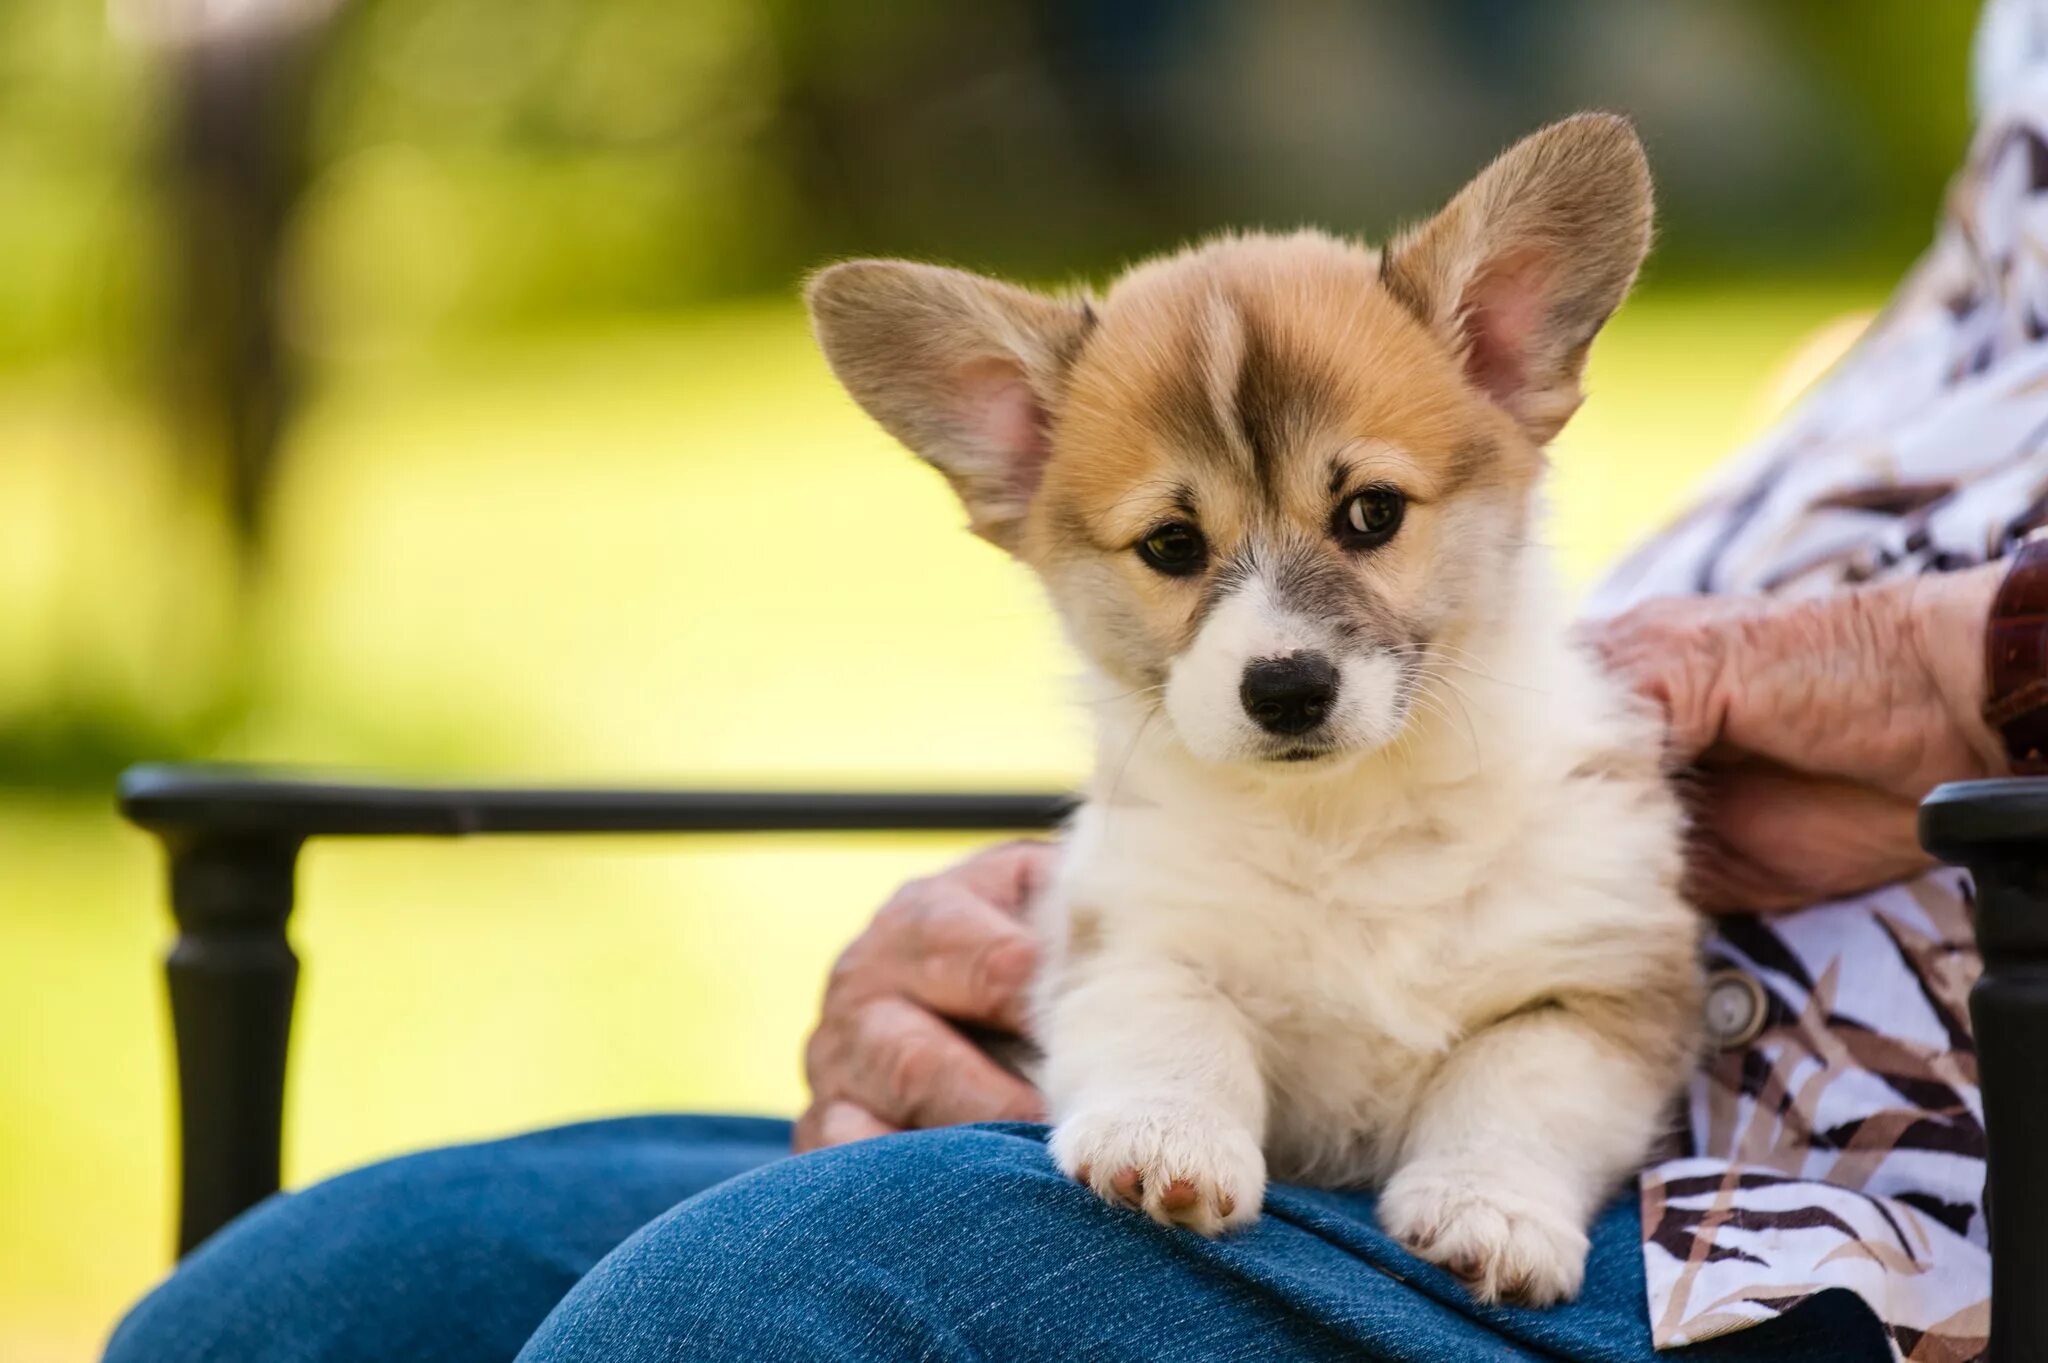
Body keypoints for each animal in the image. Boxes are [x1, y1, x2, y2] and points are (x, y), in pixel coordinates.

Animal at [806, 111, 1703, 1301]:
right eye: (1170, 544)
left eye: (1371, 512)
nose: (1285, 688)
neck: (1348, 819)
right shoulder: (1132, 936)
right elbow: (1177, 1025)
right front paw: (1162, 1143)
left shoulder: (1596, 983)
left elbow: (1514, 1087)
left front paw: (1491, 1212)